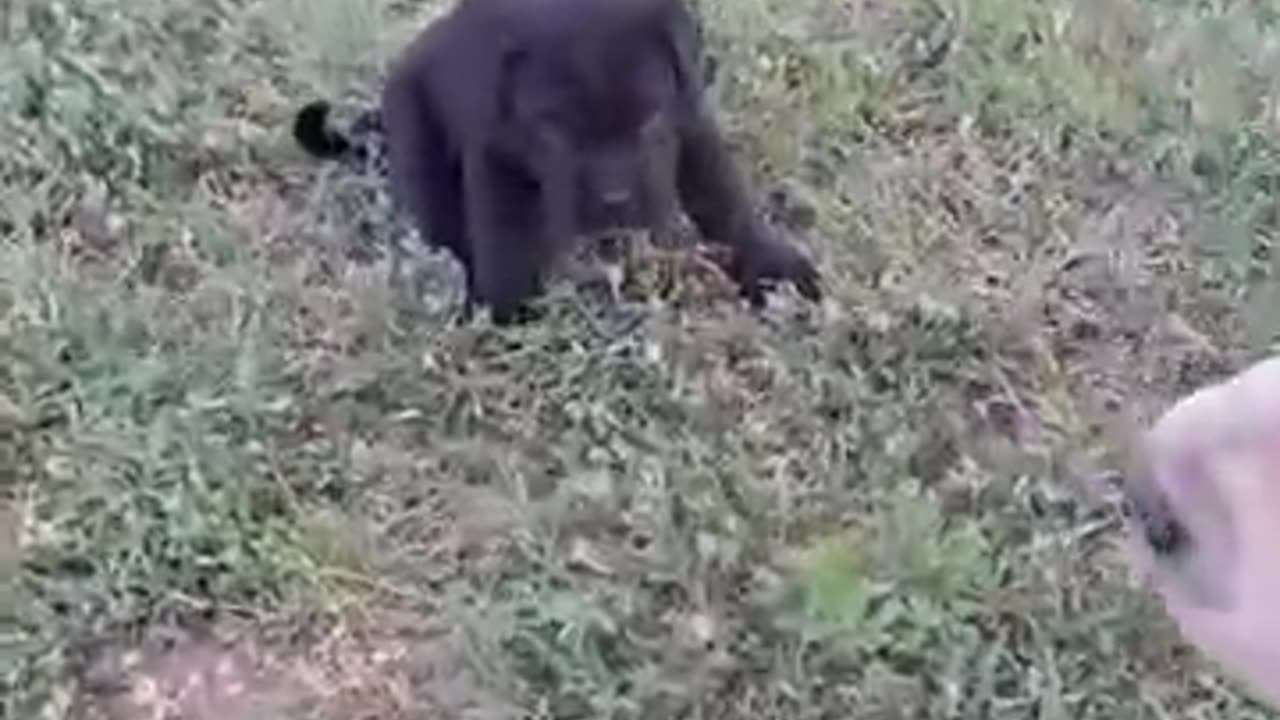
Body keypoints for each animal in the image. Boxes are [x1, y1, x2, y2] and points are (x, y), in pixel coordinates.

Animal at [295, 0, 824, 322]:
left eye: (650, 116)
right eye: (555, 131)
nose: (614, 201)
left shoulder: (690, 123)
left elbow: (724, 200)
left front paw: (775, 267)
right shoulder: (496, 154)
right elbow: (503, 234)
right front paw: (508, 309)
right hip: (417, 140)